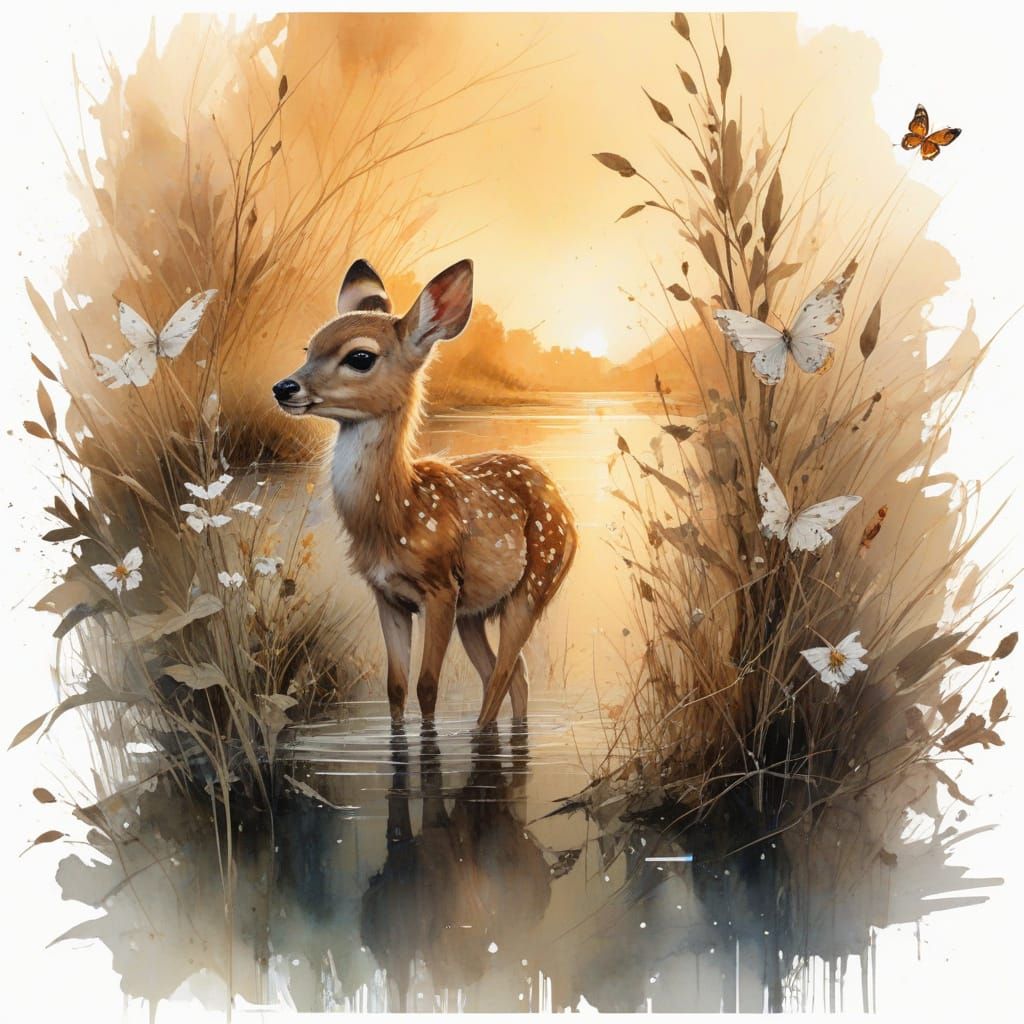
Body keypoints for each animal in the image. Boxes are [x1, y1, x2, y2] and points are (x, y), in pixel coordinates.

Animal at [272, 259, 577, 727]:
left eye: (360, 357)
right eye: (309, 349)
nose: (284, 388)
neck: (398, 512)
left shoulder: (440, 589)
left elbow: (427, 686)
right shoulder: (387, 595)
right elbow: (396, 688)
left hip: (536, 582)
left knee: (504, 672)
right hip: (477, 609)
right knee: (514, 674)